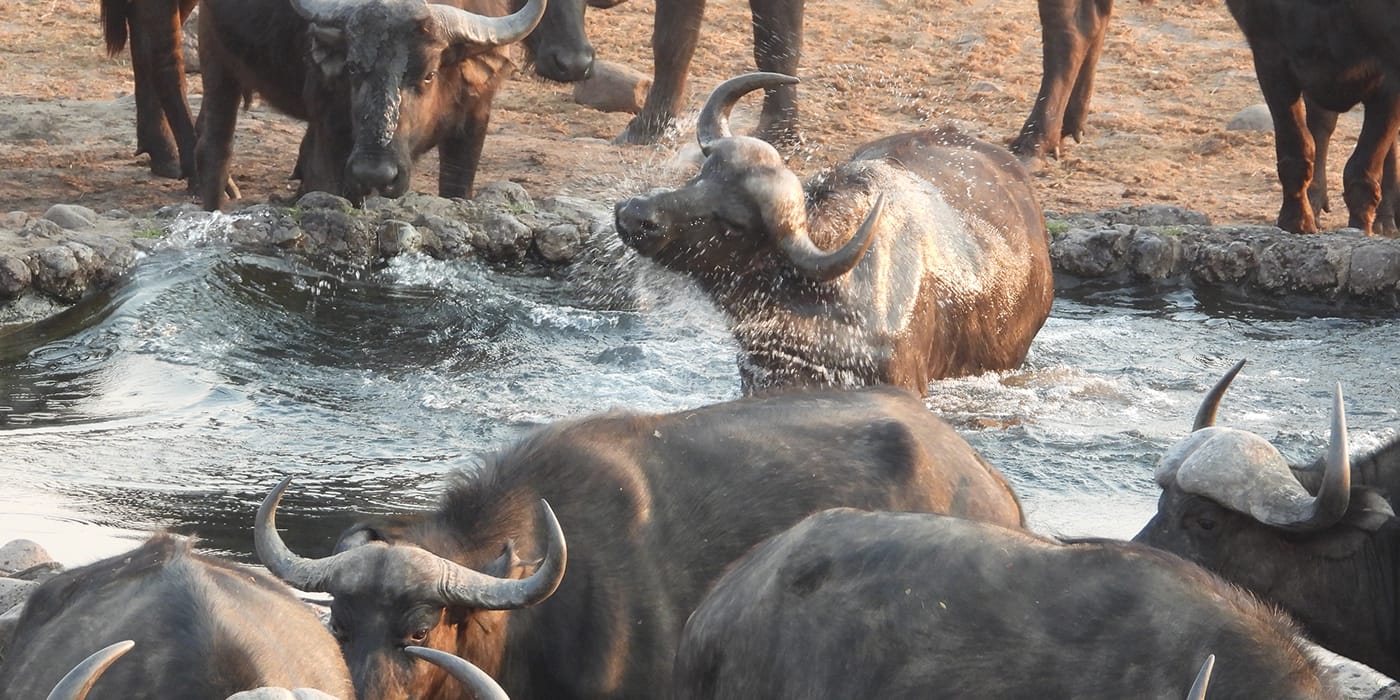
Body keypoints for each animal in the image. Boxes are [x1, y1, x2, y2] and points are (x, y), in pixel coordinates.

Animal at [194, 0, 545, 210]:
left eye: (429, 73)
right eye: (352, 68)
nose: (375, 173)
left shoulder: (474, 119)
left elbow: (457, 187)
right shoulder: (332, 133)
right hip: (215, 60)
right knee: (217, 147)